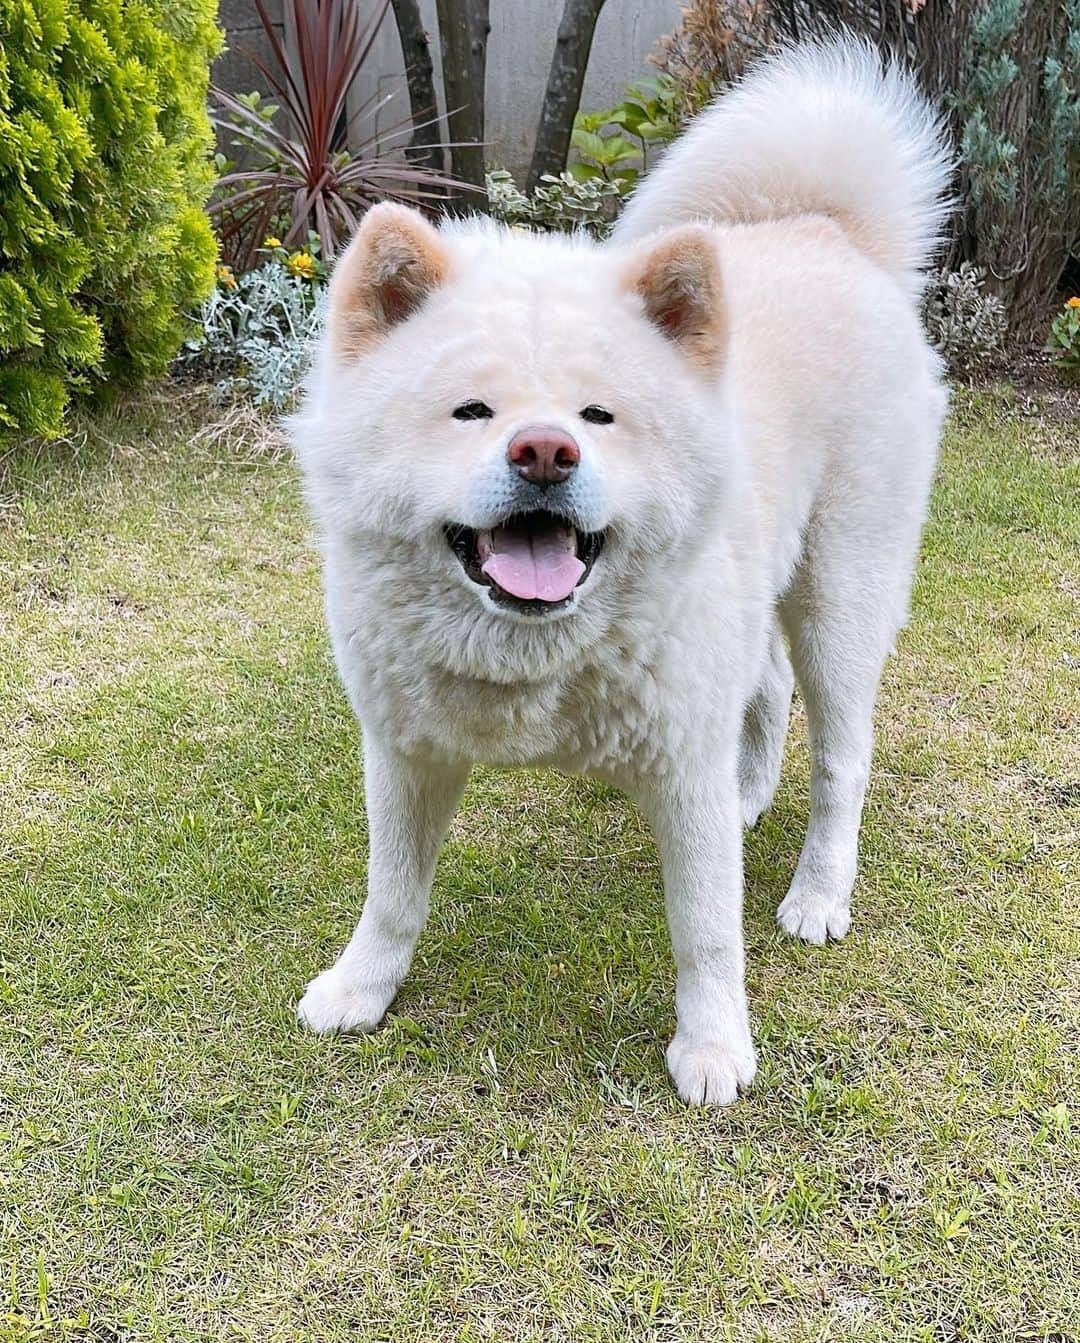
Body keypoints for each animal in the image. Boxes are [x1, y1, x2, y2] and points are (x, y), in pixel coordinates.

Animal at [291, 39, 951, 1101]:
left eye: (598, 415)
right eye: (471, 411)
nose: (545, 452)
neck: (536, 657)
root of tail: (824, 231)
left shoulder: (679, 769)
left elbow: (707, 933)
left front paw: (715, 1046)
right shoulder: (405, 753)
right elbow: (392, 894)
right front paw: (362, 987)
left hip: (839, 597)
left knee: (841, 756)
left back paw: (819, 890)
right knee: (767, 689)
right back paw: (750, 792)